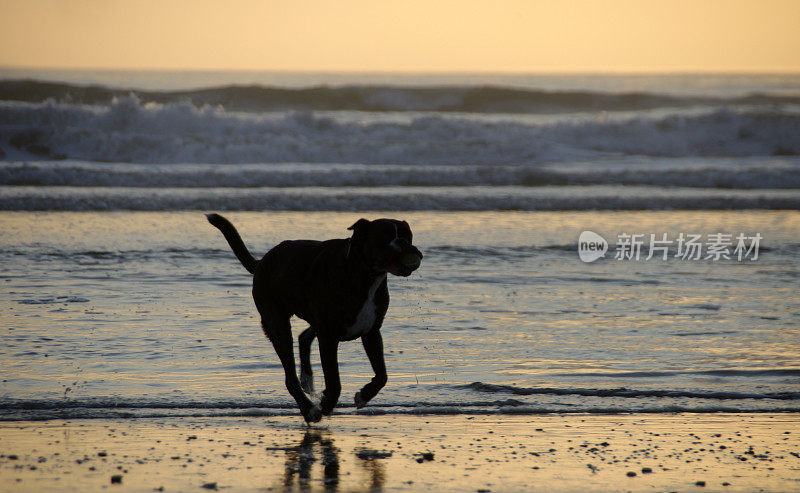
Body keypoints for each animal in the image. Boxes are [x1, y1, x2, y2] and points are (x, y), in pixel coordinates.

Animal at [206, 213, 422, 420]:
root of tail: (262, 262)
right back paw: (308, 409)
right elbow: (334, 381)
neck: (363, 274)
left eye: (407, 235)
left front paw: (364, 395)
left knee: (304, 337)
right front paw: (327, 404)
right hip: (278, 324)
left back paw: (307, 379)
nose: (403, 242)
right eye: (385, 236)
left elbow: (382, 374)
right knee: (290, 376)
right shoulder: (328, 338)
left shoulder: (371, 332)